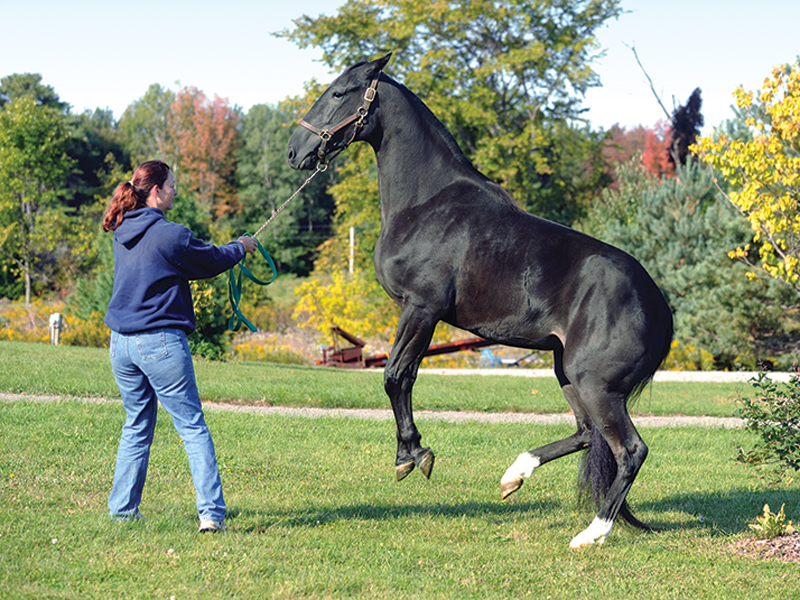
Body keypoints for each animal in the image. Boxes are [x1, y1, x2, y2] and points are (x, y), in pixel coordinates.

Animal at [287, 54, 673, 548]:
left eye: (339, 93)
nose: (294, 151)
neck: (426, 202)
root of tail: (658, 305)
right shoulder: (422, 313)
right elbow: (403, 377)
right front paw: (413, 452)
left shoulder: (421, 308)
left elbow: (396, 377)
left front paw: (412, 455)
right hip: (568, 373)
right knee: (588, 434)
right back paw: (514, 476)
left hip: (595, 385)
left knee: (630, 450)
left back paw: (591, 533)